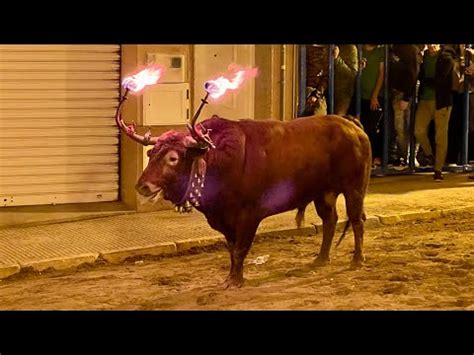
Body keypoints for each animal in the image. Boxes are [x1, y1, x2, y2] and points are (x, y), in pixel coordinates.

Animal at [116, 98, 372, 290]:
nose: (143, 186)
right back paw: (321, 258)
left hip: (354, 188)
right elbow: (231, 249)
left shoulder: (249, 215)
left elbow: (240, 248)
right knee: (330, 221)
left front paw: (236, 280)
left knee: (357, 220)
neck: (218, 160)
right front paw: (232, 276)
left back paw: (357, 259)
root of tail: (351, 125)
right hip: (323, 193)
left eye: (173, 158)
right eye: (150, 154)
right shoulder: (225, 220)